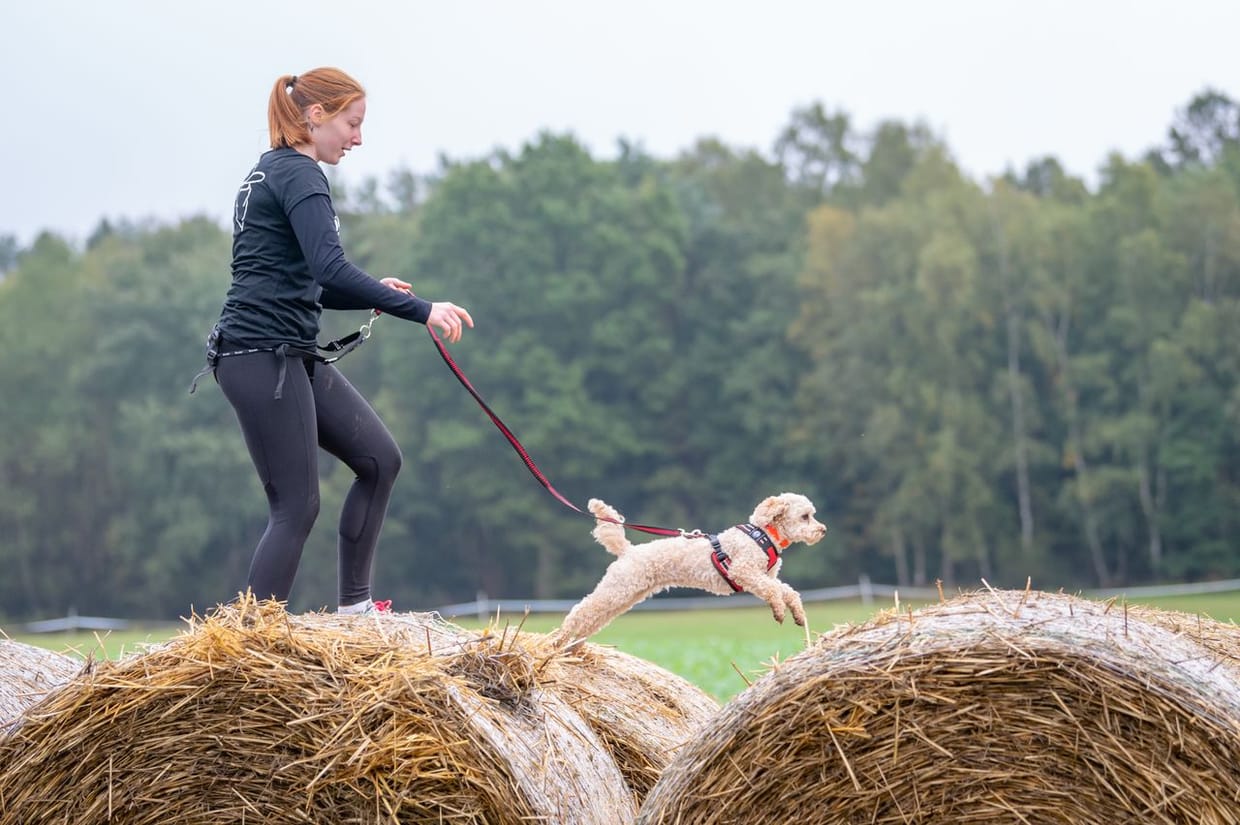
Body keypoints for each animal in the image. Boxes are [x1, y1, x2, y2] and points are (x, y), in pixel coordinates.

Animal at [550, 491, 823, 645]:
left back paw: (570, 645)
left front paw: (798, 614)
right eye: (805, 516)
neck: (763, 534)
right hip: (618, 589)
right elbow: (774, 592)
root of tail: (628, 550)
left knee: (592, 619)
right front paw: (778, 611)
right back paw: (559, 637)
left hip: (626, 595)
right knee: (580, 612)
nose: (823, 530)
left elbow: (788, 591)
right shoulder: (745, 571)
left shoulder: (764, 576)